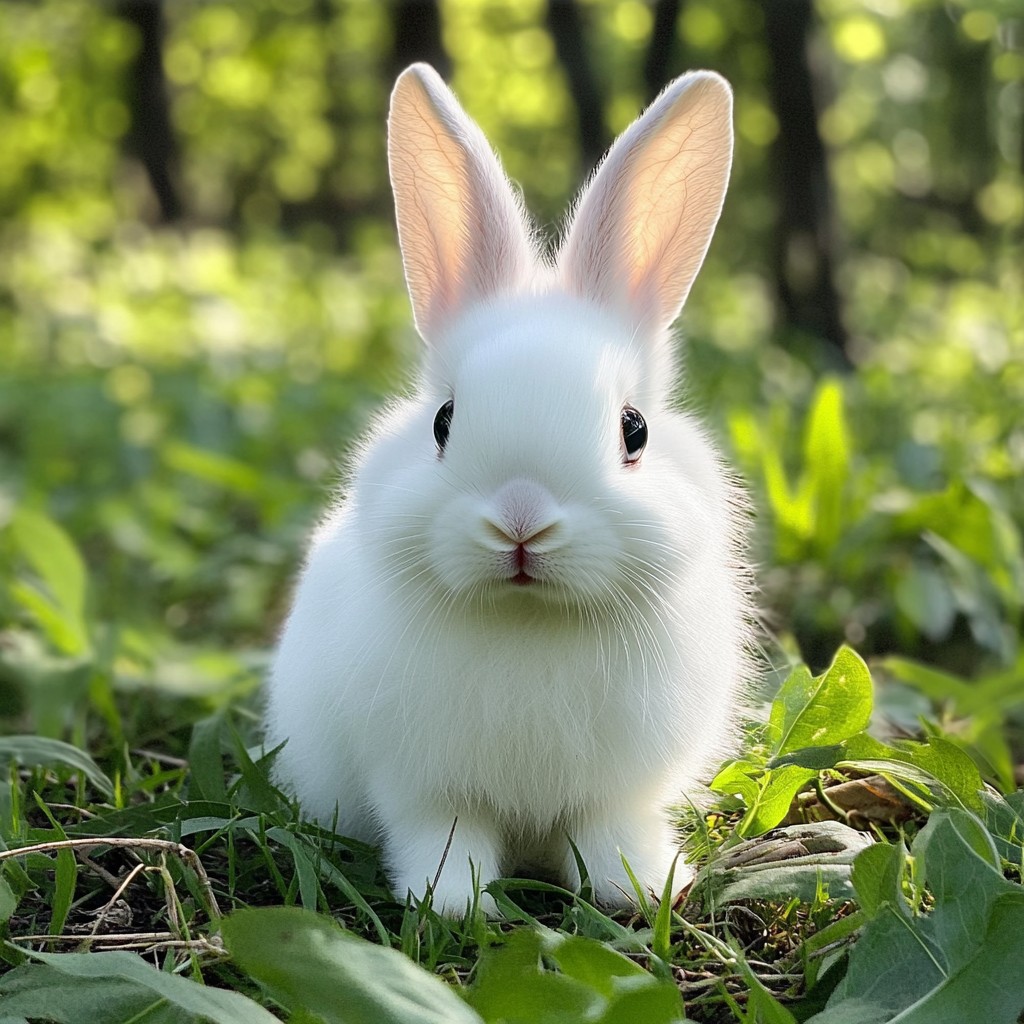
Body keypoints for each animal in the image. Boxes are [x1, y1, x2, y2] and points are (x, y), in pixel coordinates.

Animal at [264, 62, 753, 917]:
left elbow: (605, 833)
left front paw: (641, 888)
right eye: (443, 421)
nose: (521, 523)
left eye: (634, 431)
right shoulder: (425, 788)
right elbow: (443, 838)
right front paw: (451, 904)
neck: (529, 620)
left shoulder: (616, 793)